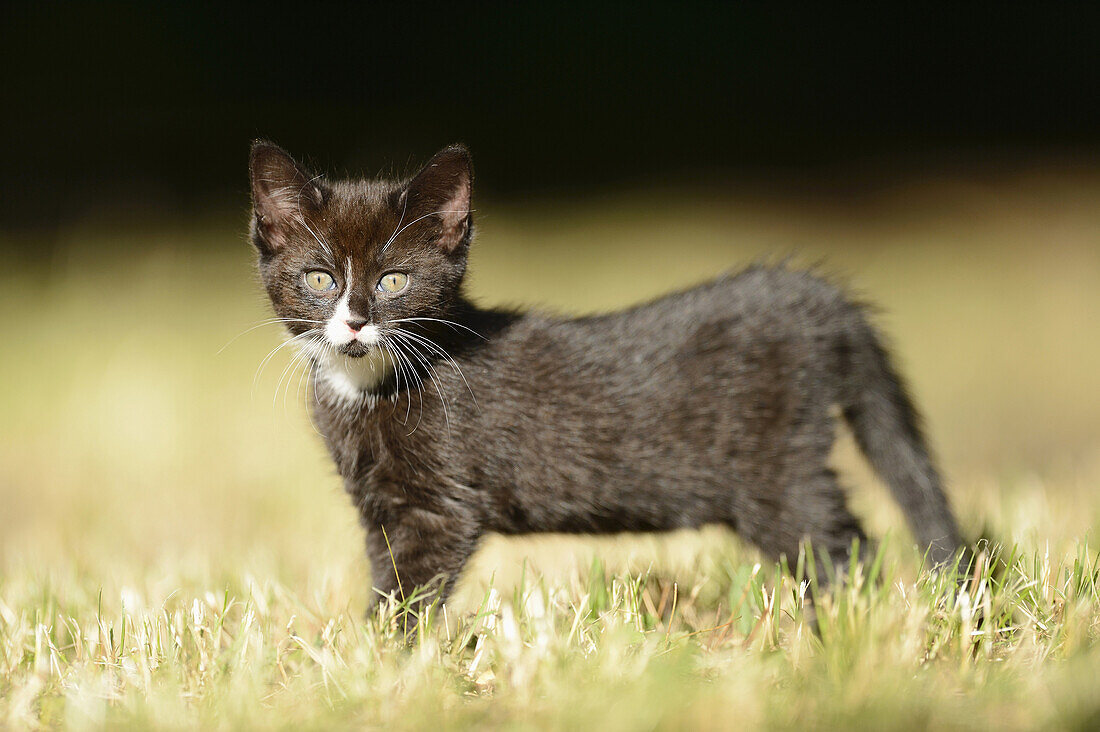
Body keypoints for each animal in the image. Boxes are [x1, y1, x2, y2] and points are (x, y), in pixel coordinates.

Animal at [249, 140, 963, 612]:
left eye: (394, 280)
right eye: (320, 279)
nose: (354, 322)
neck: (368, 386)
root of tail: (815, 299)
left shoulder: (438, 509)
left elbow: (407, 601)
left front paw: (385, 666)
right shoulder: (379, 508)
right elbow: (385, 579)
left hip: (778, 473)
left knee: (847, 550)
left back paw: (845, 631)